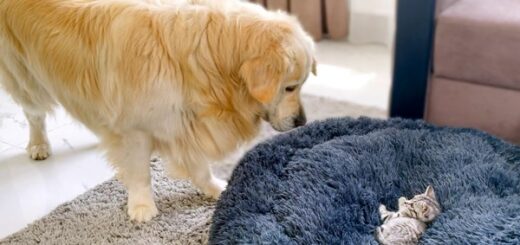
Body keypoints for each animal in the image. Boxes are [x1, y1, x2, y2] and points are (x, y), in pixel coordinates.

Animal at [0, 0, 314, 222]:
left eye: (301, 85)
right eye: (289, 87)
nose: (302, 121)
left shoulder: (183, 123)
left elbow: (199, 167)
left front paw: (216, 188)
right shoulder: (137, 129)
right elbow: (141, 172)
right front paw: (141, 206)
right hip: (25, 77)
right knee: (34, 114)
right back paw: (39, 144)